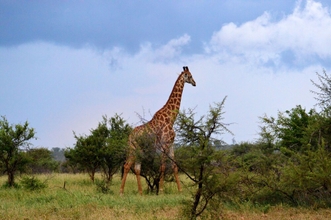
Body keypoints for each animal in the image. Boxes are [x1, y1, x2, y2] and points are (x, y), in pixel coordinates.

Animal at [120, 65, 196, 194]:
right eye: (190, 76)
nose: (195, 83)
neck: (171, 118)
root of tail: (130, 136)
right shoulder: (164, 144)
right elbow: (163, 166)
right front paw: (161, 190)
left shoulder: (171, 144)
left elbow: (174, 166)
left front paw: (180, 190)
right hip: (134, 149)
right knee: (127, 166)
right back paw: (121, 192)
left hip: (139, 150)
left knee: (136, 168)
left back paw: (140, 193)